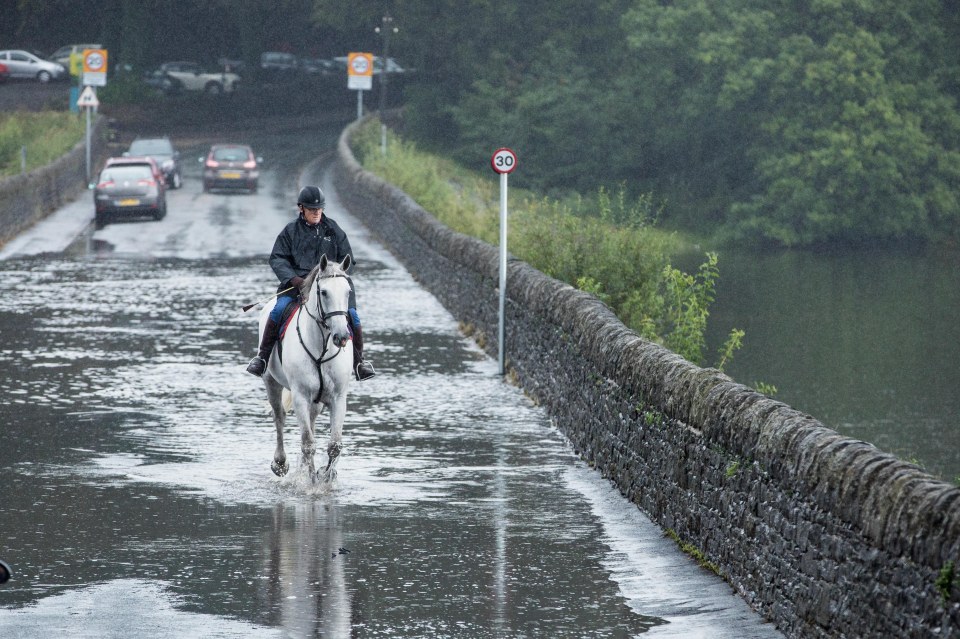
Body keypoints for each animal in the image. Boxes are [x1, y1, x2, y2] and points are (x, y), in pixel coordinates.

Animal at [258, 252, 352, 482]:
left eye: (348, 292)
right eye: (324, 292)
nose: (341, 336)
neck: (321, 348)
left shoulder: (338, 398)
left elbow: (334, 445)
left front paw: (326, 475)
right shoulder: (300, 396)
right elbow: (308, 444)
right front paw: (311, 482)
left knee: (311, 419)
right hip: (271, 382)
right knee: (279, 417)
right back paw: (280, 464)